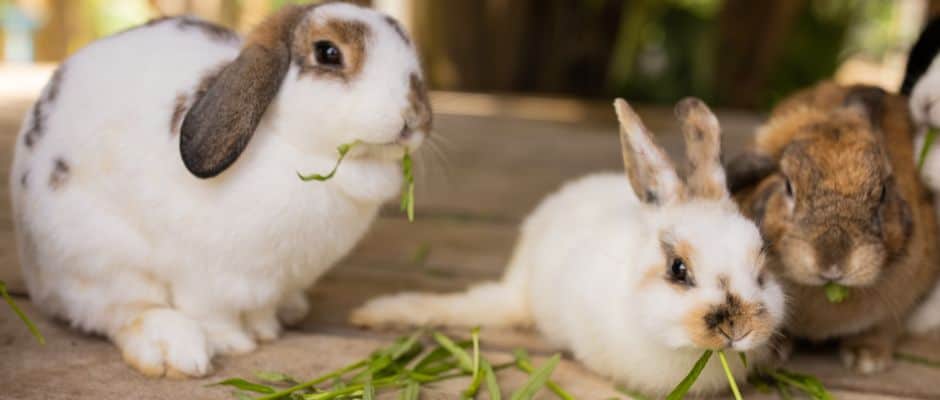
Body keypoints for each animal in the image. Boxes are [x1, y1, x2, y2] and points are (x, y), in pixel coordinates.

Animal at [8, 3, 430, 376]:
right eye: (328, 52)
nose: (415, 116)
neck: (295, 144)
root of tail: (35, 275)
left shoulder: (269, 281)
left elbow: (261, 310)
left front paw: (266, 331)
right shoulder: (205, 277)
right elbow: (212, 313)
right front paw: (234, 343)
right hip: (99, 257)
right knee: (120, 308)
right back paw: (174, 350)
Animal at [728, 82, 940, 376]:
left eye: (884, 191)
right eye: (788, 186)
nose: (832, 263)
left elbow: (885, 327)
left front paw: (868, 358)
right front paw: (773, 354)